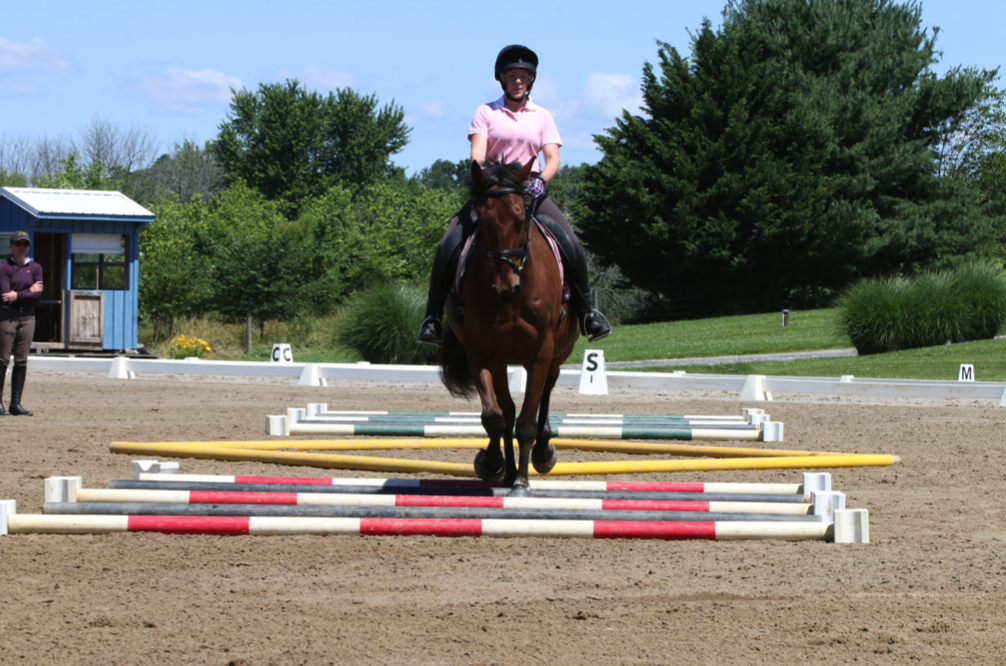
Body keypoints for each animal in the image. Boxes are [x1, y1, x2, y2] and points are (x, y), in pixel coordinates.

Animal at [440, 157, 583, 494]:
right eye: (483, 222)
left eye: (520, 219)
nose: (507, 288)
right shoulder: (482, 352)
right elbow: (495, 416)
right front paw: (493, 464)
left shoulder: (541, 352)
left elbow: (527, 419)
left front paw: (522, 481)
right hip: (502, 361)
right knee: (506, 410)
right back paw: (507, 470)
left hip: (557, 355)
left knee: (545, 394)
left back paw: (541, 454)